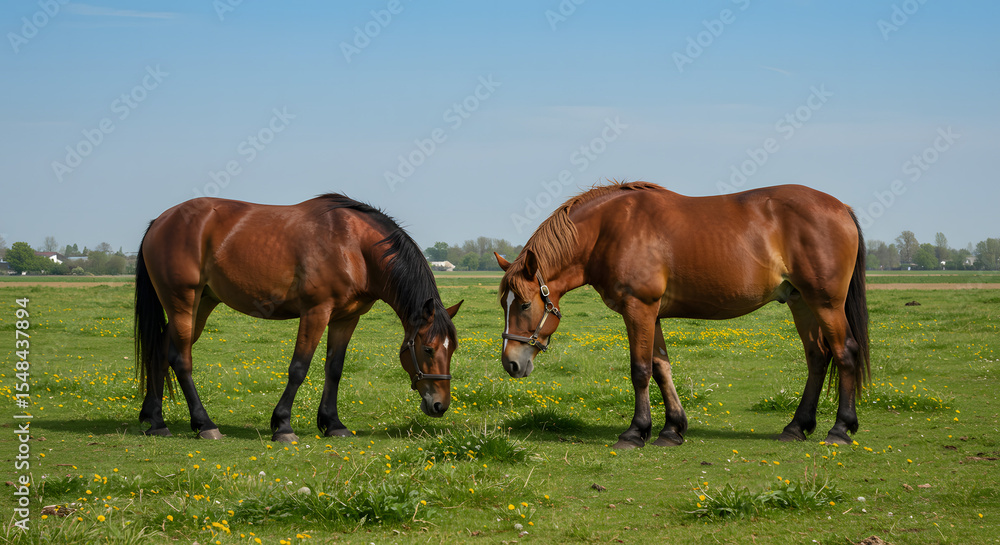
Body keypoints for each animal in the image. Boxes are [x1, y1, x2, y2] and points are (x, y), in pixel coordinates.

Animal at [134, 194, 461, 442]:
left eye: (452, 349)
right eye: (428, 349)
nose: (440, 405)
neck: (354, 246)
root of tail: (160, 222)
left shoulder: (346, 318)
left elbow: (334, 369)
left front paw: (333, 424)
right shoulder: (316, 312)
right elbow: (299, 368)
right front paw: (283, 425)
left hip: (201, 304)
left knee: (160, 351)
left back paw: (156, 421)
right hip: (182, 302)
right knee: (181, 359)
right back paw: (204, 424)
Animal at [496, 181, 869, 450]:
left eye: (524, 305)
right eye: (504, 304)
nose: (511, 363)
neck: (609, 230)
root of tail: (842, 208)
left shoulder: (639, 308)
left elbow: (641, 370)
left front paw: (635, 432)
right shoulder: (652, 313)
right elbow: (661, 367)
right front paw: (672, 428)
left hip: (825, 303)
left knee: (845, 352)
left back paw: (840, 428)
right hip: (801, 302)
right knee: (818, 357)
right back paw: (797, 426)